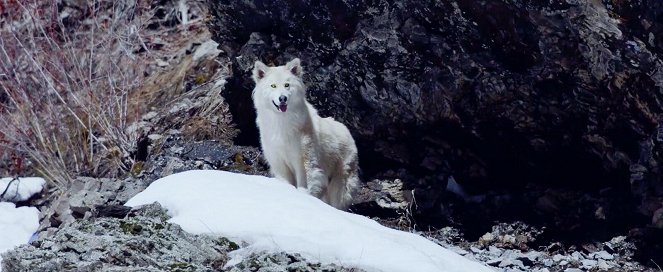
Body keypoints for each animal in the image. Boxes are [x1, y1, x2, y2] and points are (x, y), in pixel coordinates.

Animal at [252, 58, 360, 210]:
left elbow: (304, 182)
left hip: (339, 181)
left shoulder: (303, 159)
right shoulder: (278, 161)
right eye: (273, 86)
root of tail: (347, 131)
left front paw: (304, 196)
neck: (282, 123)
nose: (282, 98)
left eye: (287, 85)